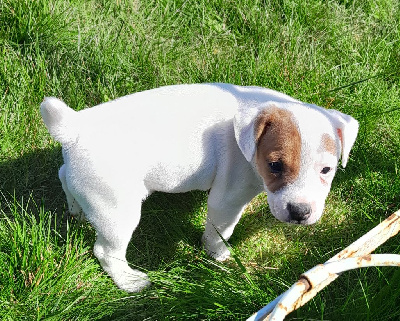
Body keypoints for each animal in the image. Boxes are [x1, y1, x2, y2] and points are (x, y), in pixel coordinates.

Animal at [40, 84, 360, 292]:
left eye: (327, 170)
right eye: (275, 166)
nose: (300, 212)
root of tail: (74, 128)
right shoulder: (228, 199)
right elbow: (221, 231)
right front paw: (217, 254)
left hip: (85, 182)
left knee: (64, 175)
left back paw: (77, 211)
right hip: (118, 212)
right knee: (106, 251)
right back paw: (130, 281)